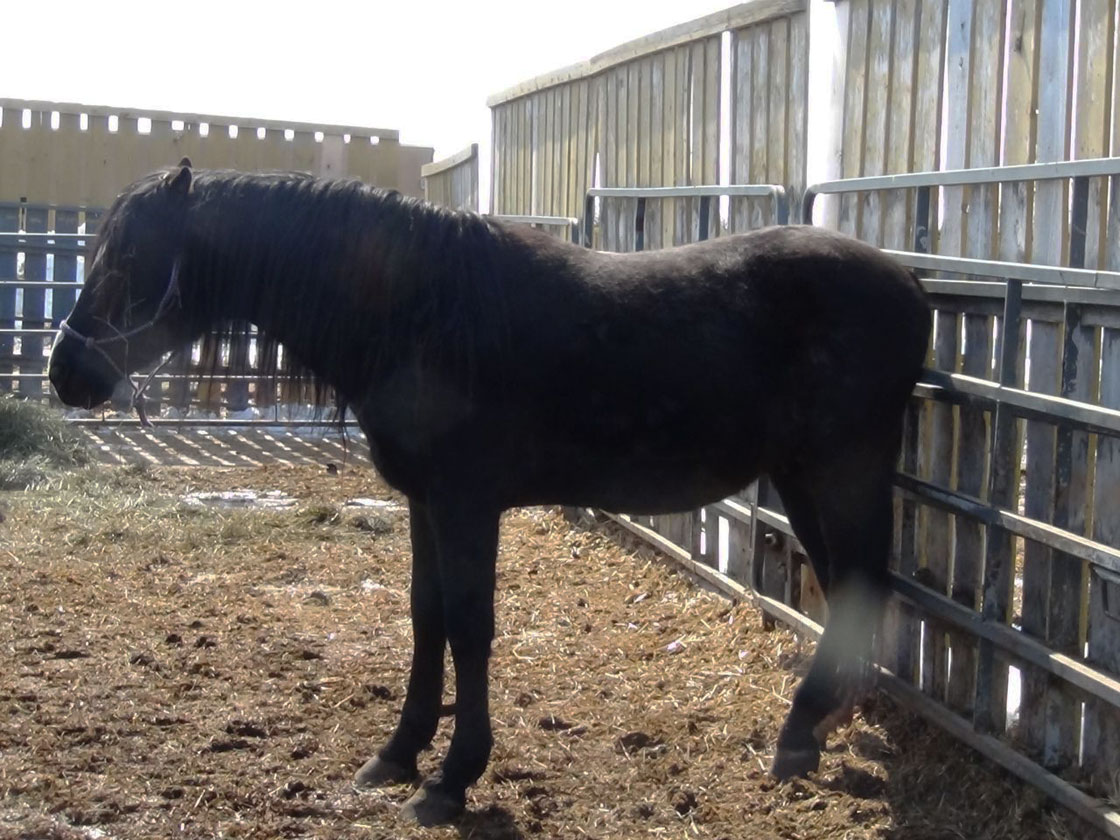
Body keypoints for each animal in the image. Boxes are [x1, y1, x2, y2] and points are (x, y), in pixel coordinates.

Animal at [49, 160, 932, 826]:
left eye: (127, 260)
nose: (66, 374)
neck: (421, 310)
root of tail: (908, 284)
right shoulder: (423, 503)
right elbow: (426, 618)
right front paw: (397, 754)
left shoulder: (467, 504)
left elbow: (470, 629)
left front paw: (452, 778)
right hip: (802, 474)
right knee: (848, 584)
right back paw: (815, 727)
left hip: (841, 469)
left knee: (859, 578)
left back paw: (802, 731)